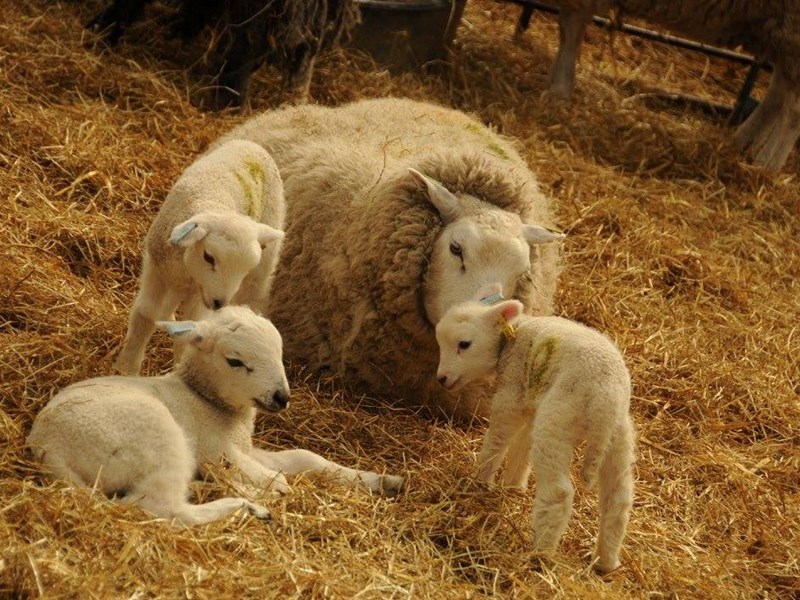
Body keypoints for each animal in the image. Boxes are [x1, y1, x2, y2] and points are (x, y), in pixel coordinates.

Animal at [27, 306, 404, 527]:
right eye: (235, 361)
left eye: (280, 351)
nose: (281, 397)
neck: (209, 402)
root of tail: (46, 447)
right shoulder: (216, 448)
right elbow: (278, 479)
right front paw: (269, 492)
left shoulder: (246, 448)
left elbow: (305, 457)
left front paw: (383, 480)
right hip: (155, 434)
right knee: (161, 508)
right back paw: (248, 506)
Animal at [115, 138, 285, 376]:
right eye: (209, 257)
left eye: (244, 269)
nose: (219, 303)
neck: (214, 203)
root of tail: (251, 145)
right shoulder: (156, 267)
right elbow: (146, 314)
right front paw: (127, 367)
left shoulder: (198, 292)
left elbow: (191, 328)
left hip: (264, 259)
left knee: (254, 294)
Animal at [435, 284, 635, 573]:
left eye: (464, 344)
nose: (442, 378)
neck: (513, 337)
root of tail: (604, 400)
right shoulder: (529, 400)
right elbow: (522, 445)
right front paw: (513, 486)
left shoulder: (510, 394)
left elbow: (498, 440)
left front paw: (480, 481)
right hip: (618, 437)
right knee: (617, 499)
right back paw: (606, 562)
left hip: (557, 420)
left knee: (559, 494)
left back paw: (540, 552)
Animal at [540, 1, 800, 170]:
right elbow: (569, 31)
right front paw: (560, 89)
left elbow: (571, 30)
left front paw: (560, 90)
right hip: (783, 35)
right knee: (777, 96)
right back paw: (739, 144)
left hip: (793, 28)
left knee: (792, 113)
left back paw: (765, 167)